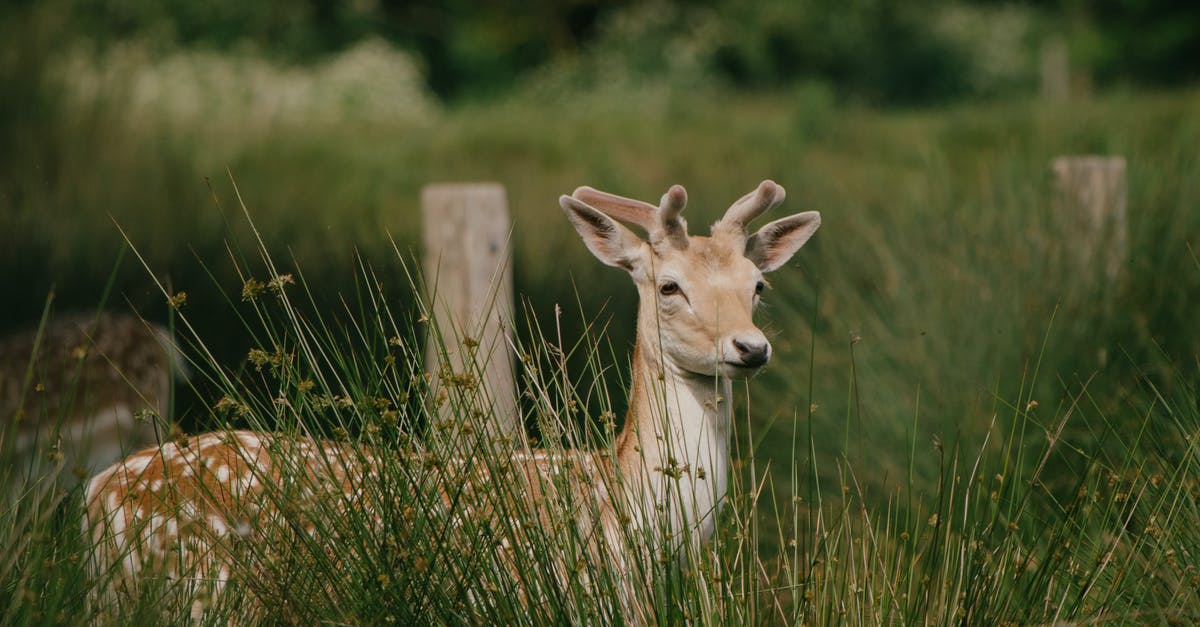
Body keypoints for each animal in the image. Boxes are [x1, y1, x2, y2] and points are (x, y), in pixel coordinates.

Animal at [82, 180, 816, 619]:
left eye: (757, 285)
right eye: (669, 286)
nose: (751, 347)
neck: (624, 509)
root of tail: (97, 493)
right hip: (196, 593)